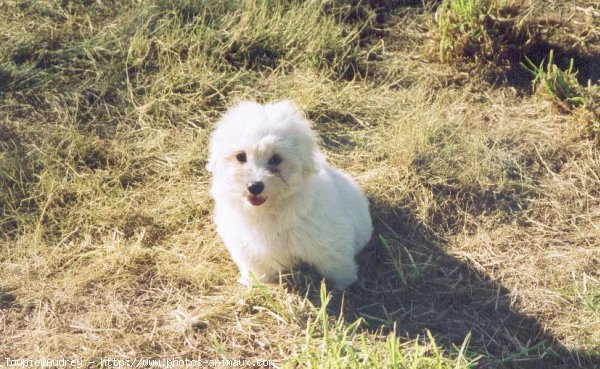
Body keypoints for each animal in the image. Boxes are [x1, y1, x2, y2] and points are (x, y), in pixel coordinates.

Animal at [209, 99, 372, 288]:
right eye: (241, 156)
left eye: (275, 159)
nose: (254, 186)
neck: (268, 210)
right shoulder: (247, 247)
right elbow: (256, 268)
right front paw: (254, 283)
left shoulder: (329, 242)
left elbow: (337, 265)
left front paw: (343, 286)